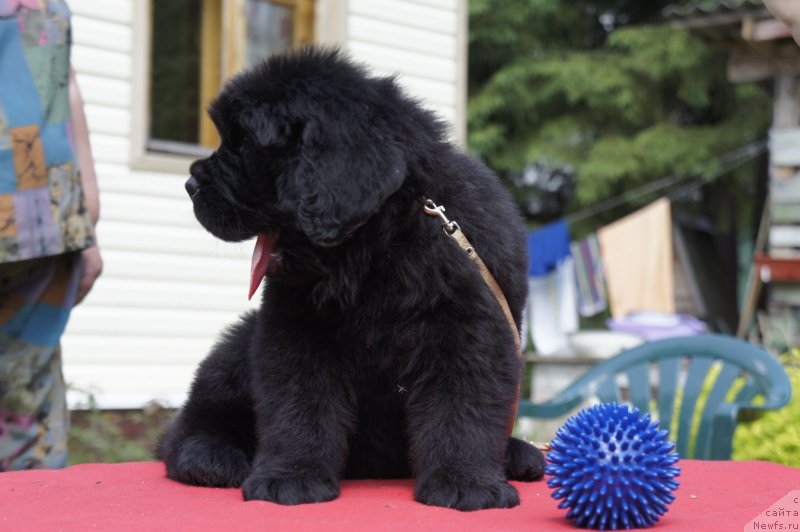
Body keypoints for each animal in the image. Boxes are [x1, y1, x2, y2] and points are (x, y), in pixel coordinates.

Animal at [158, 47, 544, 510]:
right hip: (236, 348)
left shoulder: (471, 336)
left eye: (244, 144)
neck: (380, 249)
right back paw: (209, 456)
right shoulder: (295, 333)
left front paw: (465, 481)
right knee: (184, 428)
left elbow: (463, 409)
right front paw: (291, 476)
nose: (189, 183)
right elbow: (299, 406)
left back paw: (519, 453)